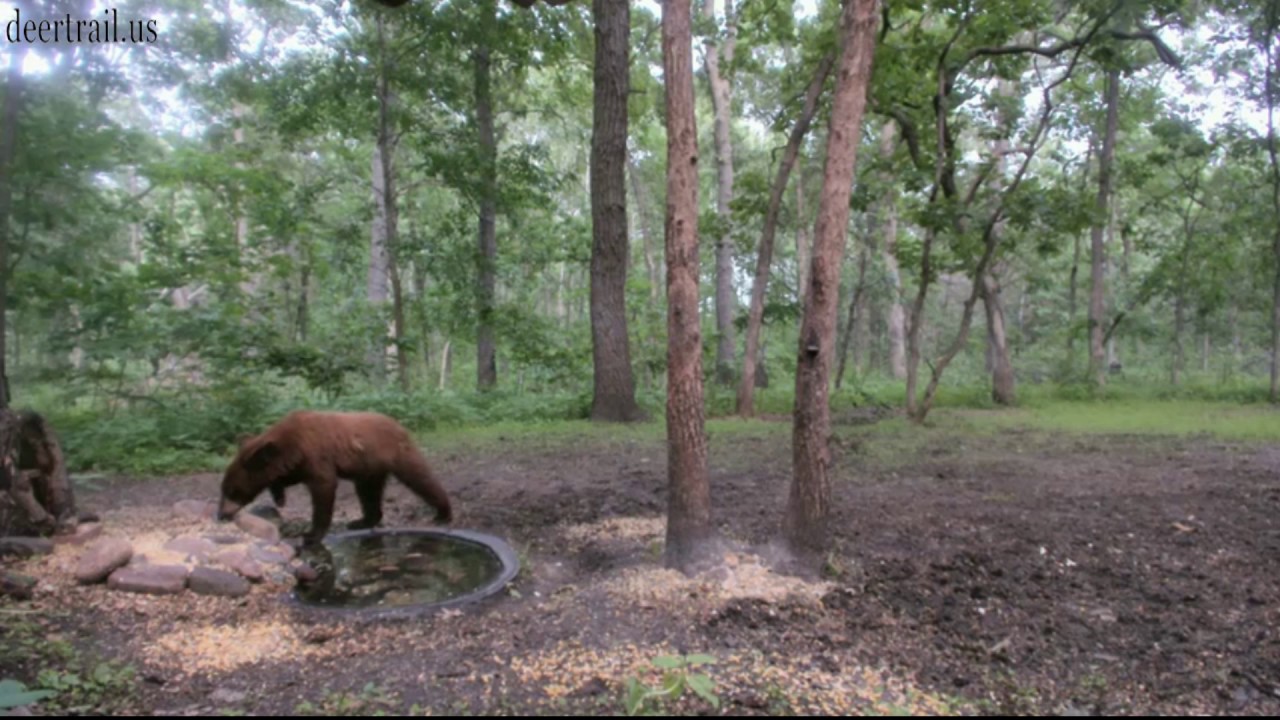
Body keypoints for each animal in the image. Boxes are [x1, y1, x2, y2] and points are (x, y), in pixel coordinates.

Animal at [217, 410, 453, 545]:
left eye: (233, 490)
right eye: (223, 489)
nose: (221, 514)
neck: (290, 444)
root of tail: (400, 426)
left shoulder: (315, 455)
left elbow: (324, 487)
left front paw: (311, 535)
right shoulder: (297, 463)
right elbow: (286, 477)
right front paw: (279, 495)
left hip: (397, 453)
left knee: (420, 478)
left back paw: (443, 512)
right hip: (369, 468)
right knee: (367, 492)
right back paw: (362, 521)